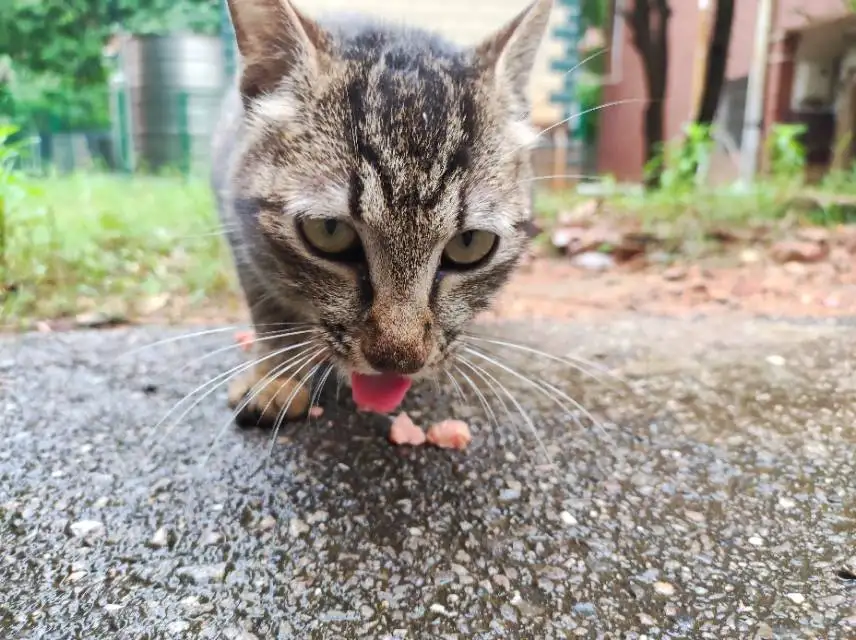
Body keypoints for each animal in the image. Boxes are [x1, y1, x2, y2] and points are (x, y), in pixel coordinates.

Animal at [211, 0, 552, 428]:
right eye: (328, 232)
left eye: (471, 243)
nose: (398, 359)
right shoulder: (239, 235)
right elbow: (268, 309)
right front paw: (275, 376)